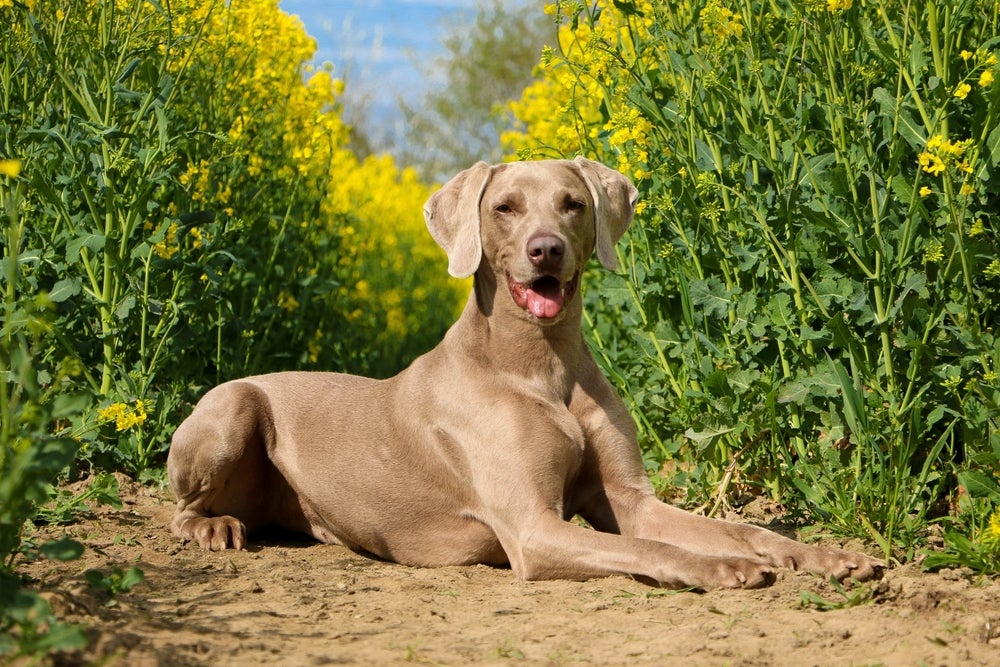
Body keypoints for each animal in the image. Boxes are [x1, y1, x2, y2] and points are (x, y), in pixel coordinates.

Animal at [170, 157, 884, 588]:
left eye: (573, 203)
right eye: (506, 207)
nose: (547, 250)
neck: (541, 364)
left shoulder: (630, 500)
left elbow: (737, 526)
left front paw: (825, 555)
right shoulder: (533, 530)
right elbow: (650, 549)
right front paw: (725, 567)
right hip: (231, 409)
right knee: (182, 506)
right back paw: (215, 528)